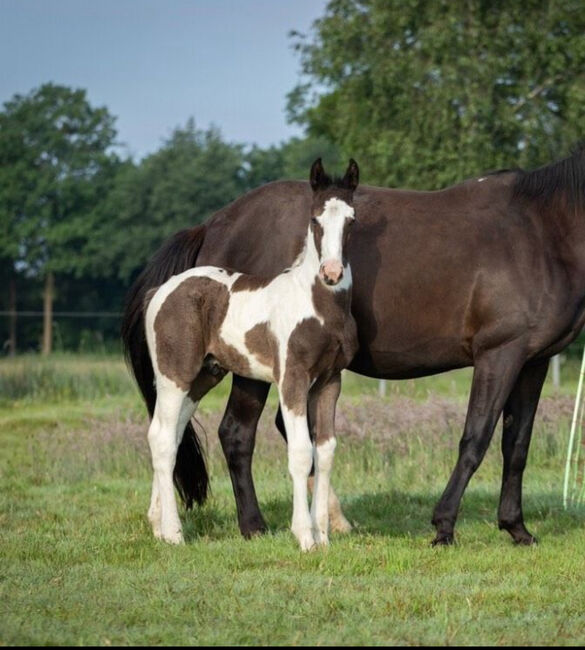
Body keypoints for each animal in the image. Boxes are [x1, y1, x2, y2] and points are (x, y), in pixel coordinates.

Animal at [144, 158, 358, 548]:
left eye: (352, 219)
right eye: (315, 219)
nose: (332, 273)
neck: (317, 305)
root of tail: (161, 291)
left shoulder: (329, 381)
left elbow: (326, 450)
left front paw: (323, 536)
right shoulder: (292, 379)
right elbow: (301, 452)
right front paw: (305, 537)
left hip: (204, 376)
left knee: (172, 432)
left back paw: (158, 526)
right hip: (174, 375)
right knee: (162, 438)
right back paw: (174, 533)